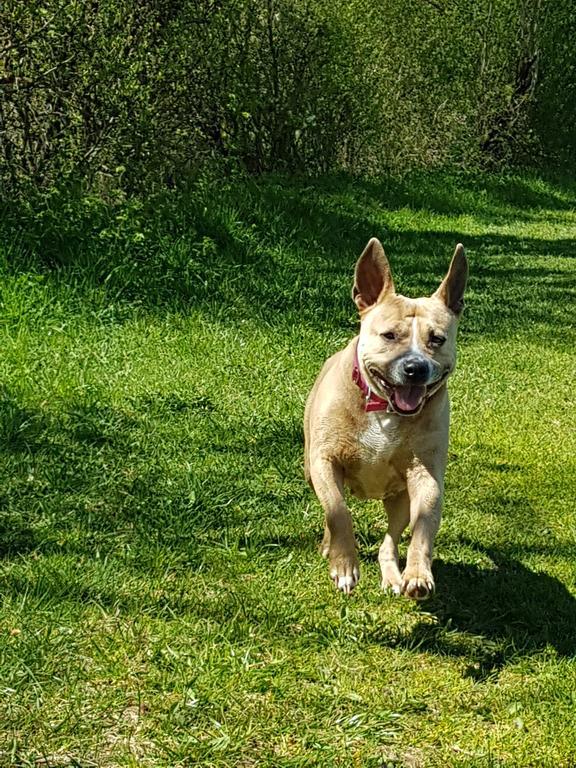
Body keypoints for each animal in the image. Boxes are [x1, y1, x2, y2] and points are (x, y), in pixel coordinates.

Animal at [304, 237, 466, 596]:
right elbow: (338, 511)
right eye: (390, 335)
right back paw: (329, 546)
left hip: (400, 499)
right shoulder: (324, 460)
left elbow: (423, 527)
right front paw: (344, 566)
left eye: (437, 339)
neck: (384, 407)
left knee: (390, 540)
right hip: (309, 468)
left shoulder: (426, 474)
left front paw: (418, 573)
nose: (415, 367)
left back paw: (393, 575)